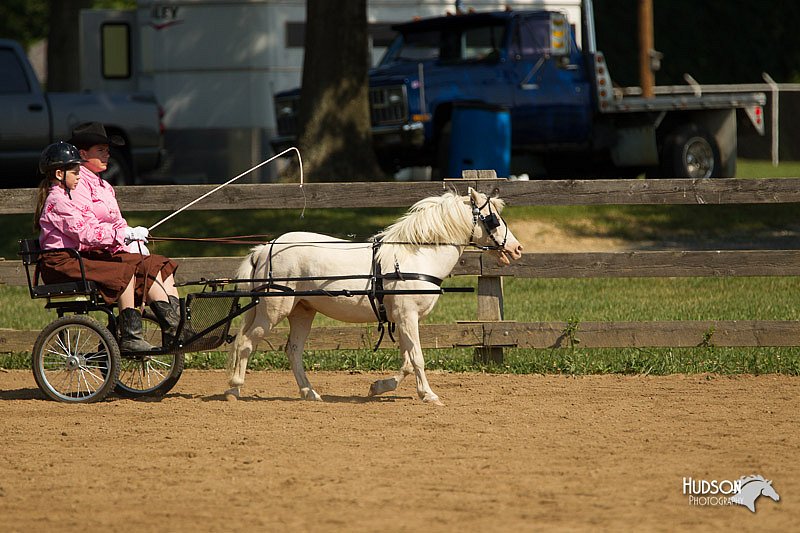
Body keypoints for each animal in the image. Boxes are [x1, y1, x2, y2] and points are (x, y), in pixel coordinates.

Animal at [225, 187, 524, 404]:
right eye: (493, 220)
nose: (517, 248)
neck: (416, 256)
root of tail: (264, 249)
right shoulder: (407, 317)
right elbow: (417, 358)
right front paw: (429, 395)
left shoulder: (402, 320)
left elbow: (407, 361)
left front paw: (378, 387)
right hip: (274, 310)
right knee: (246, 342)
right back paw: (234, 389)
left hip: (302, 312)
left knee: (293, 350)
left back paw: (310, 393)